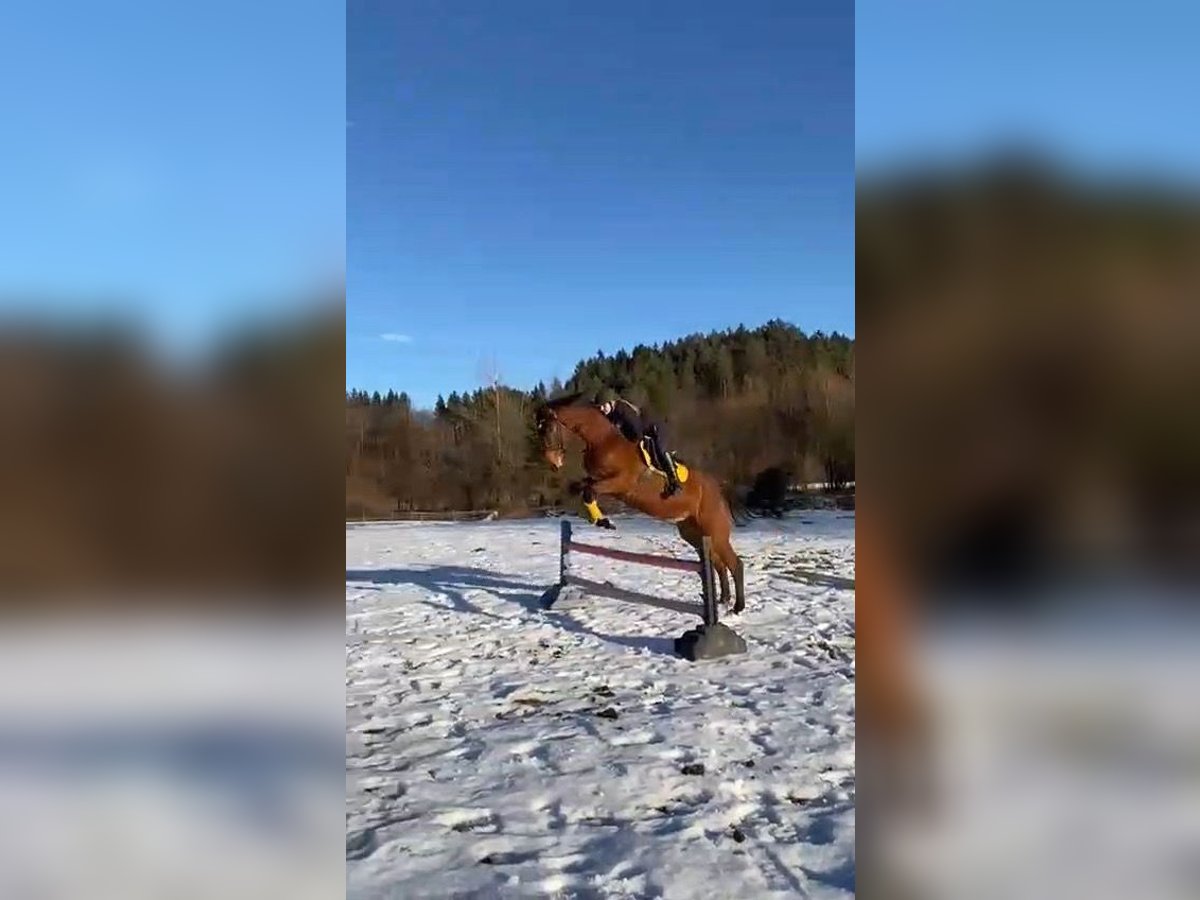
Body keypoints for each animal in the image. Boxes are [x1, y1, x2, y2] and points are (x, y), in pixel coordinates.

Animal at [535, 393, 746, 614]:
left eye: (549, 429)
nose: (553, 462)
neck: (602, 440)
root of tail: (718, 493)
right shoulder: (597, 480)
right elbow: (581, 488)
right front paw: (598, 519)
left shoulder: (621, 483)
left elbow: (588, 492)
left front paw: (604, 522)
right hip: (695, 534)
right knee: (719, 565)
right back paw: (723, 600)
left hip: (715, 532)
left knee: (735, 564)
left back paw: (738, 606)